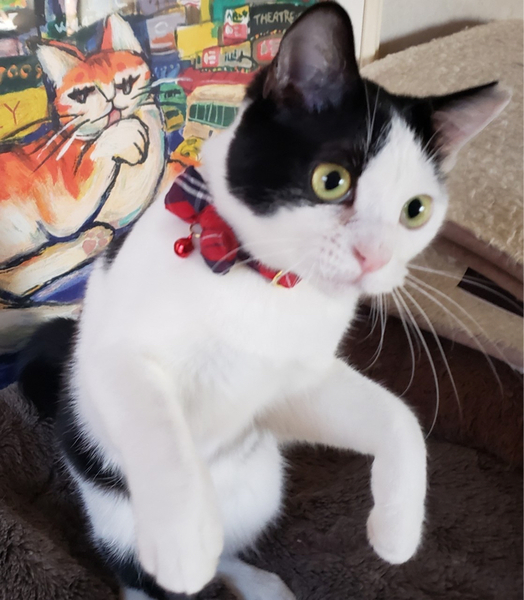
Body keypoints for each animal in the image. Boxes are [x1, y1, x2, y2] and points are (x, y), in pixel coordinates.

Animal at [0, 14, 165, 300]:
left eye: (126, 83)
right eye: (81, 95)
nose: (112, 100)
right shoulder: (61, 211)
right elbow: (97, 153)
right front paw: (124, 135)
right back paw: (90, 240)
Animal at [19, 3, 509, 600]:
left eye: (416, 210)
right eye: (330, 180)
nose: (373, 256)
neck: (262, 282)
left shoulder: (291, 384)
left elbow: (400, 419)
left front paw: (398, 529)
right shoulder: (111, 357)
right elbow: (158, 428)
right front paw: (183, 542)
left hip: (262, 482)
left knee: (230, 546)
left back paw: (255, 579)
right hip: (114, 512)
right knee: (132, 569)